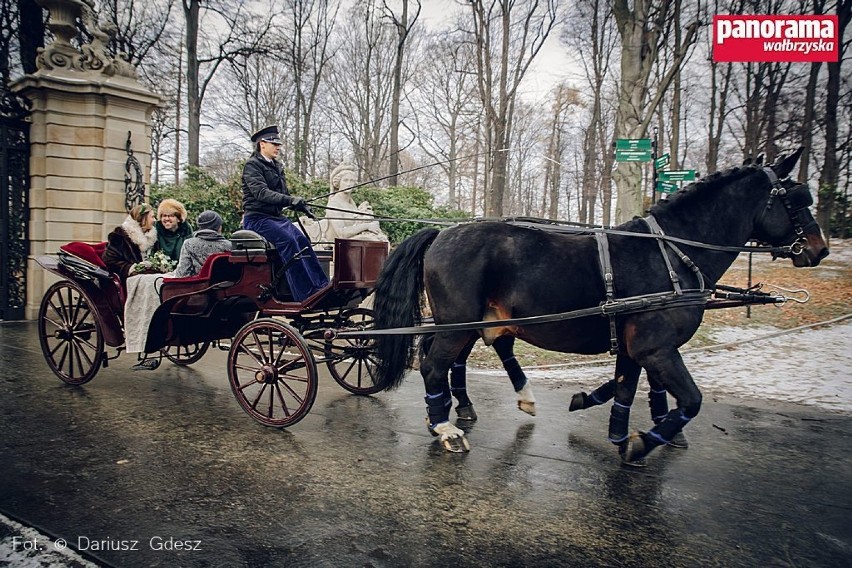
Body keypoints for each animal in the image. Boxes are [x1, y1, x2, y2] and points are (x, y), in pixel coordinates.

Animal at [372, 152, 824, 466]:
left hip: (471, 321)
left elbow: (625, 389)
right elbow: (691, 401)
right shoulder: (657, 349)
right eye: (797, 198)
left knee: (460, 357)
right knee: (435, 365)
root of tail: (441, 233)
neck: (670, 254)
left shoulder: (635, 349)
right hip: (457, 322)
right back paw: (445, 426)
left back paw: (460, 411)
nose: (819, 249)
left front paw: (619, 432)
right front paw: (643, 442)